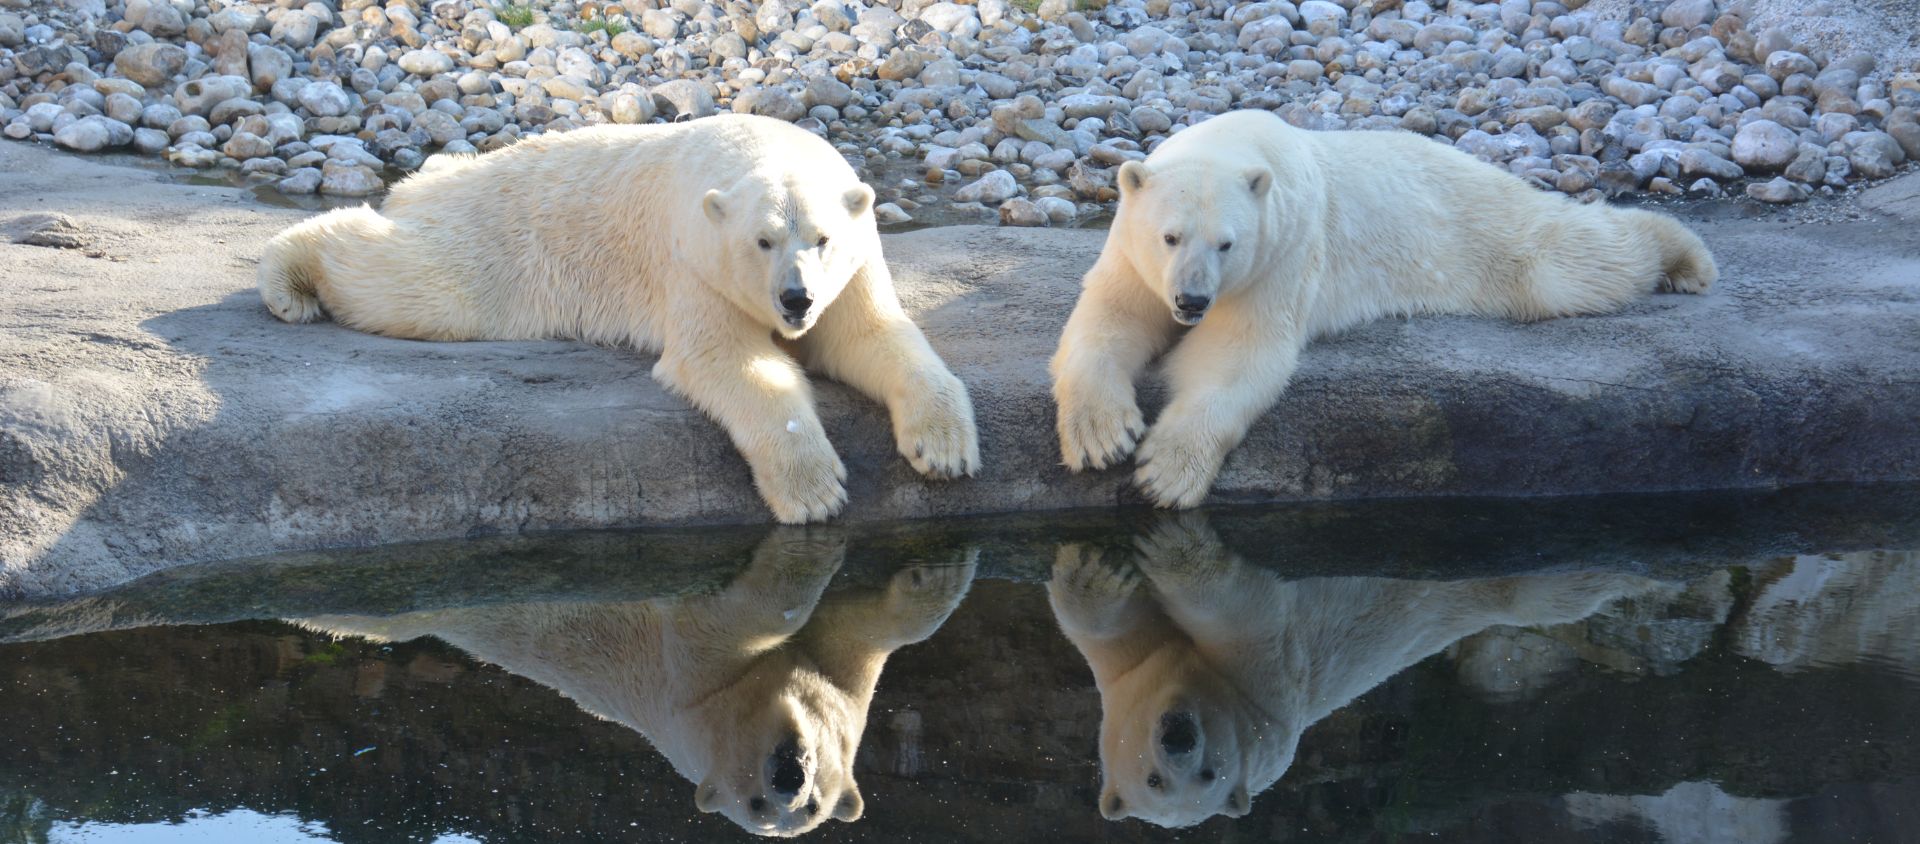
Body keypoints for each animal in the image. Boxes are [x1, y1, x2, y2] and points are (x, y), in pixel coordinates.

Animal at [255, 113, 975, 521]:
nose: (795, 300)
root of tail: (426, 179)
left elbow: (870, 336)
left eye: (822, 238)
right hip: (493, 241)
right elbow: (729, 360)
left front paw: (944, 451)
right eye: (762, 241)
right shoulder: (695, 260)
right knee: (414, 282)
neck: (761, 145)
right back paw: (288, 279)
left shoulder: (853, 267)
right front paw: (815, 490)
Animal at [307, 529, 983, 832]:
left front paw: (937, 572)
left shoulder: (842, 684)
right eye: (753, 803)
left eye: (814, 803)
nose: (788, 775)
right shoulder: (691, 691)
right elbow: (729, 620)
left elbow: (862, 635)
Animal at [1052, 510, 1666, 828]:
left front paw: (1174, 547)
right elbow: (1112, 626)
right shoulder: (1131, 676)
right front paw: (1096, 567)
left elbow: (1249, 616)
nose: (1178, 735)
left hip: (1509, 582)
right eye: (1154, 781)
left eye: (1209, 773)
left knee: (1559, 588)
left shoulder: (1266, 697)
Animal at [1059, 110, 1720, 506]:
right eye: (1169, 236)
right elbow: (1110, 319)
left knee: (1566, 262)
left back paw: (1684, 258)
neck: (1239, 144)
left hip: (1483, 227)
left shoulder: (1284, 251)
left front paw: (1166, 473)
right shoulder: (1131, 252)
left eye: (1227, 243)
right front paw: (1102, 438)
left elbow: (1237, 354)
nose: (1191, 300)